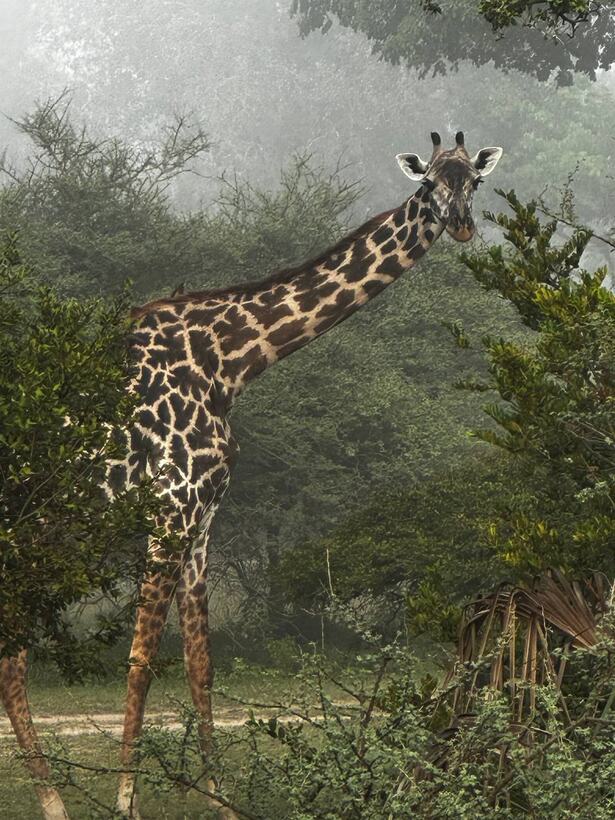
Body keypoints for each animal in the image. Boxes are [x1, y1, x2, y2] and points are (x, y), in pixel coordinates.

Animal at [0, 132, 502, 820]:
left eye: (473, 181)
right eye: (428, 182)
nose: (462, 225)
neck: (230, 362)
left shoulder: (205, 512)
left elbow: (200, 662)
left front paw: (219, 798)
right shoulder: (172, 504)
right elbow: (141, 660)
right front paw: (127, 800)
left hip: (40, 526)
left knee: (13, 652)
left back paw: (52, 797)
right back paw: (53, 797)